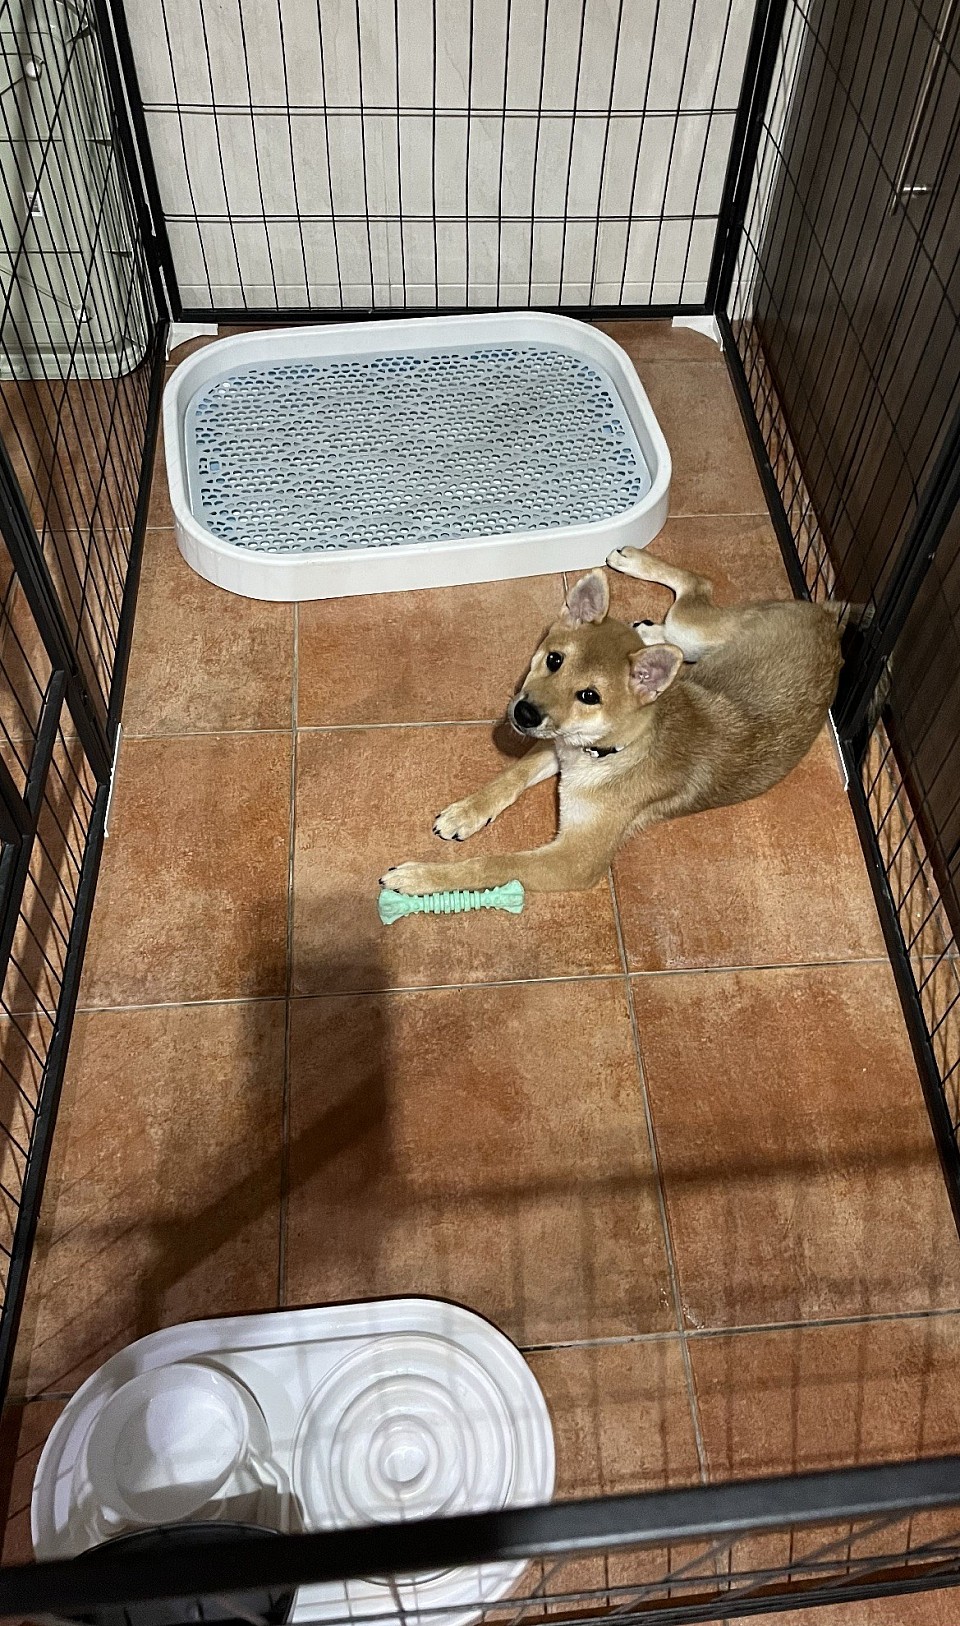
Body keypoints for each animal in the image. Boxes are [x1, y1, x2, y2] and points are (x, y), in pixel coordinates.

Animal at [380, 552, 846, 897]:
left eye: (590, 696)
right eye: (554, 659)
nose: (524, 713)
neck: (607, 753)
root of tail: (827, 618)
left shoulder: (572, 860)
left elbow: (493, 864)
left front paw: (420, 876)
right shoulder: (556, 745)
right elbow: (510, 777)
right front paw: (466, 812)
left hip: (697, 632)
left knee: (699, 584)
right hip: (697, 640)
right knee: (689, 597)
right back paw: (642, 605)